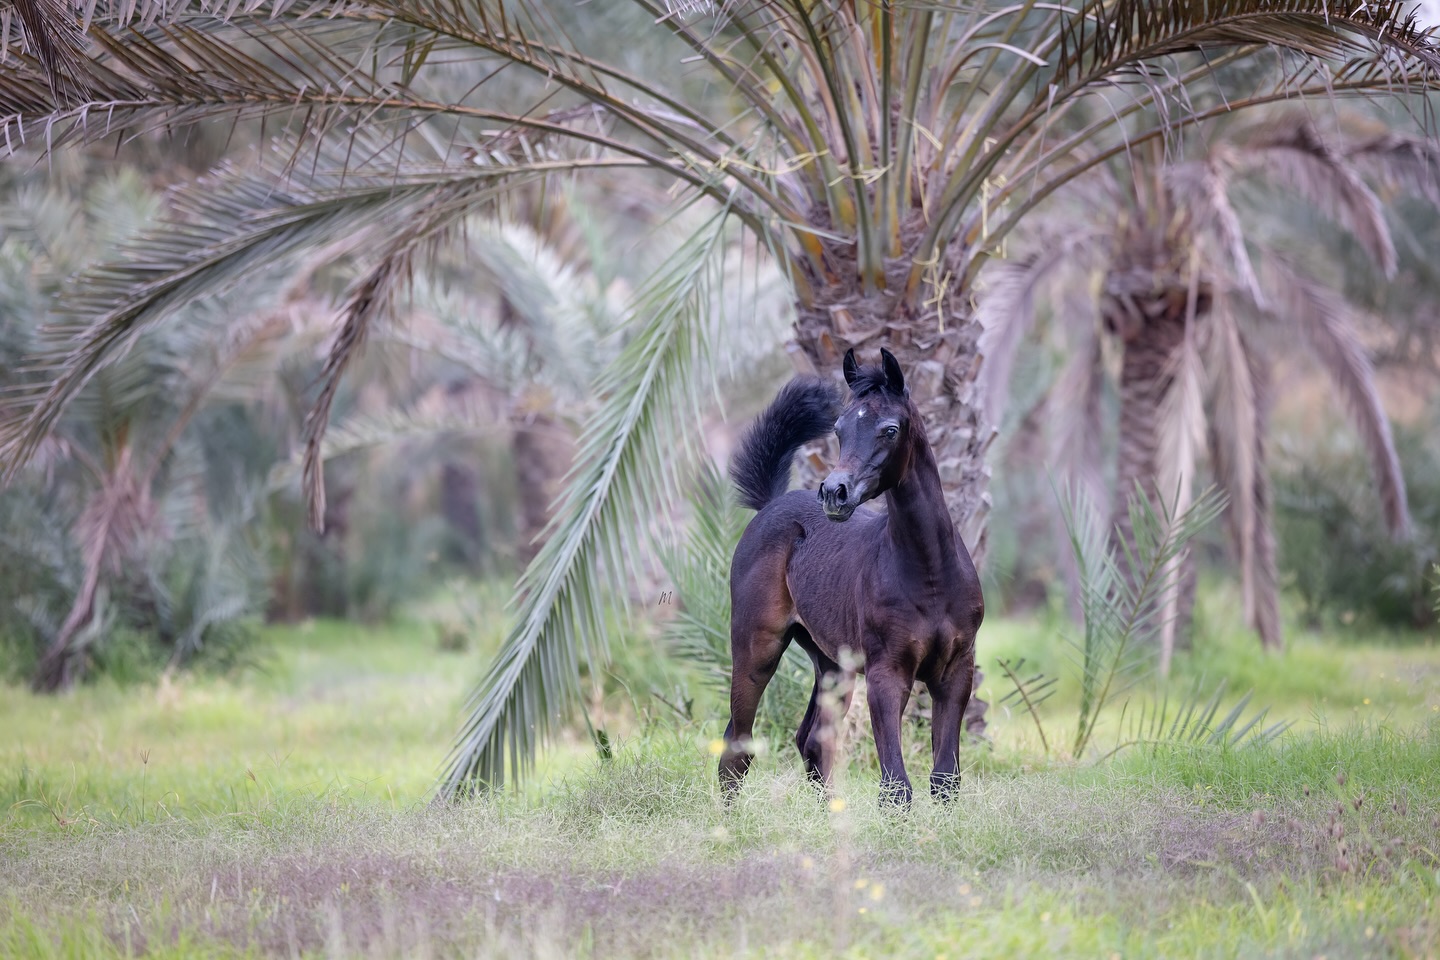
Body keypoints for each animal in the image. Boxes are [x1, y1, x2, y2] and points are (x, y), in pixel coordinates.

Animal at [720, 347, 984, 806]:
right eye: (840, 428)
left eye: (890, 429)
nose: (834, 493)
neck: (931, 575)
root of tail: (770, 505)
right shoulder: (886, 673)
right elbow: (896, 786)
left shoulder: (956, 672)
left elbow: (944, 780)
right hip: (757, 647)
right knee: (737, 744)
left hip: (831, 663)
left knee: (810, 740)